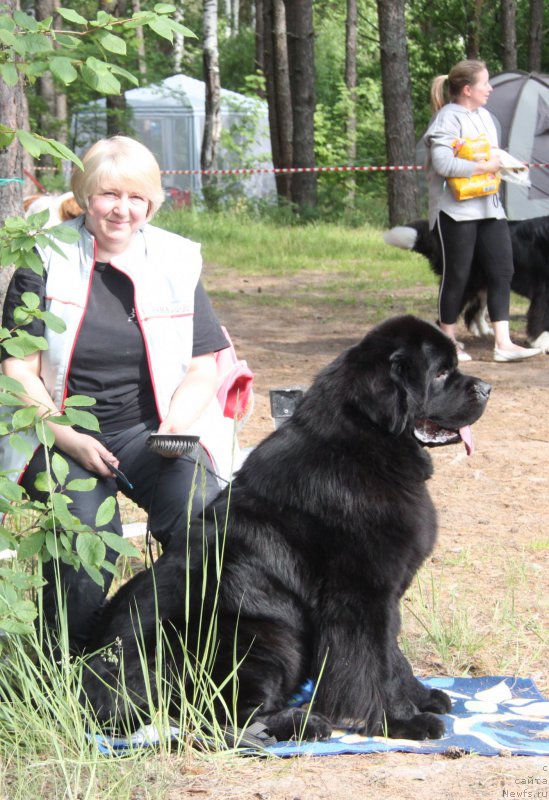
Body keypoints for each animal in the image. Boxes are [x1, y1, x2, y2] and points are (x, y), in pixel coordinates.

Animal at [83, 316, 490, 740]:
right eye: (441, 373)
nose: (486, 388)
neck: (364, 445)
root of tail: (93, 690)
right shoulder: (361, 595)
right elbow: (372, 662)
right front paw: (398, 720)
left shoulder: (382, 596)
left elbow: (393, 655)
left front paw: (422, 696)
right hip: (263, 638)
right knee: (220, 717)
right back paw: (303, 723)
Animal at [384, 216, 548, 354]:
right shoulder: (543, 292)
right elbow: (540, 318)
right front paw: (542, 343)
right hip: (465, 283)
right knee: (447, 315)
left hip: (484, 284)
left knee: (474, 311)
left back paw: (484, 331)